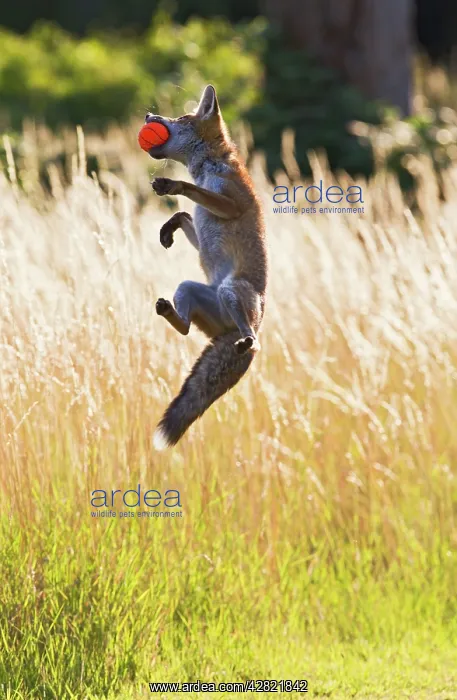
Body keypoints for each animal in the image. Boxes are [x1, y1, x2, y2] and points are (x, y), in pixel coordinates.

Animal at [145, 84, 268, 449]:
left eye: (178, 118)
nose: (148, 114)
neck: (209, 168)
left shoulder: (230, 203)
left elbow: (192, 194)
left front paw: (173, 186)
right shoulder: (200, 229)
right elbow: (183, 214)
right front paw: (167, 229)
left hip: (231, 291)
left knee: (253, 339)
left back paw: (248, 341)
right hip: (189, 289)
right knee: (186, 328)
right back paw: (169, 313)